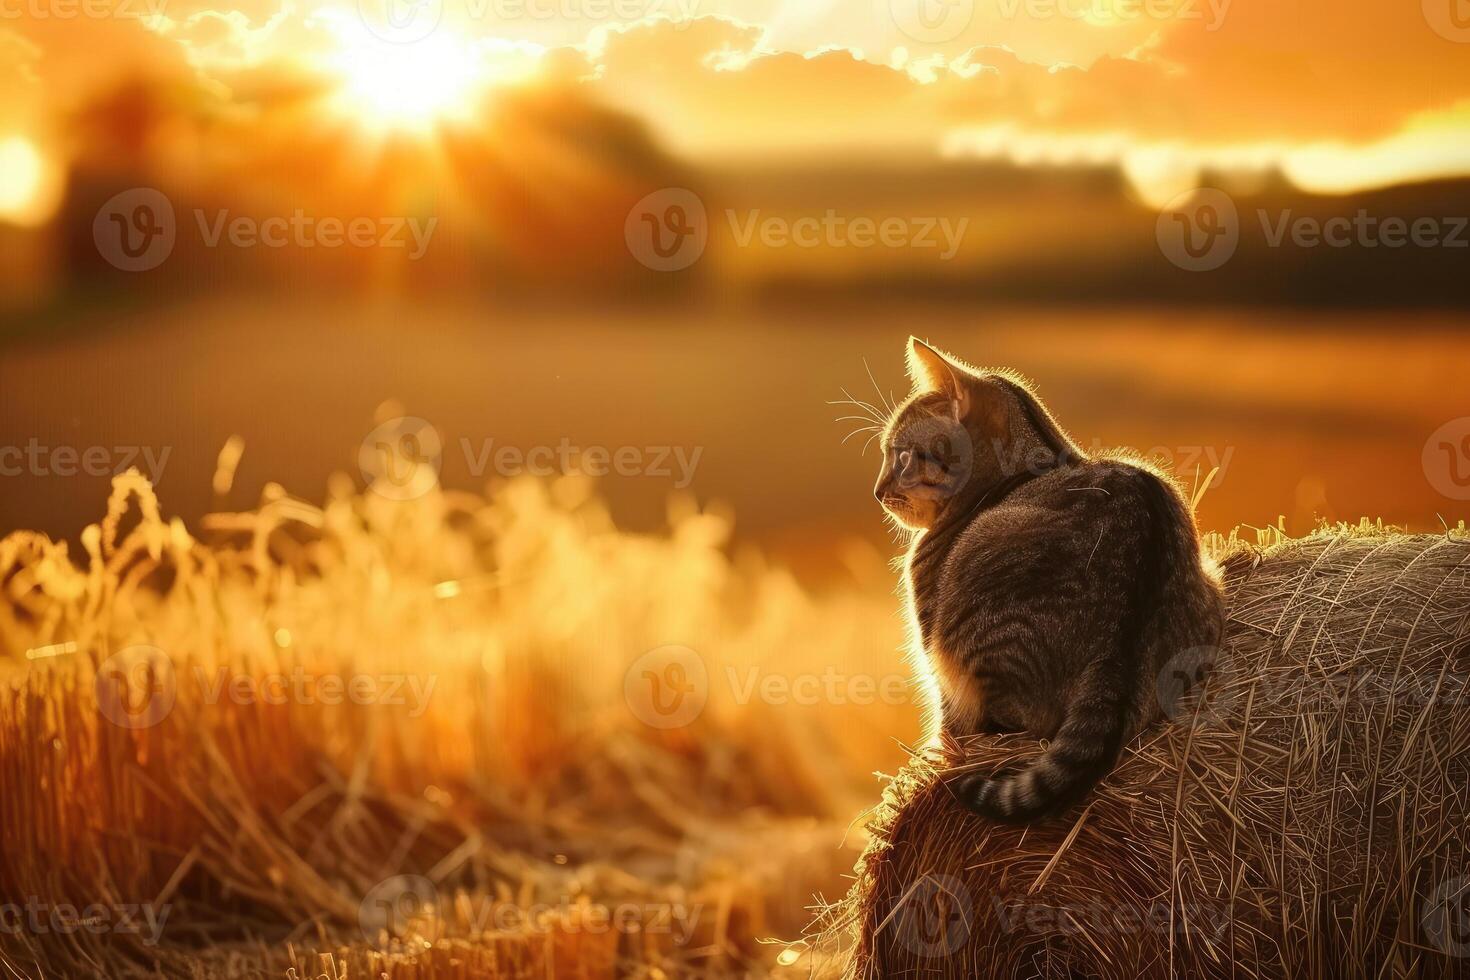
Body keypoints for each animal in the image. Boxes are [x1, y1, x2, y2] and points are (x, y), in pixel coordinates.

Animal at [870, 337, 1228, 822]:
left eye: (902, 455)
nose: (877, 491)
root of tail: (1115, 649)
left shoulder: (934, 654)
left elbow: (948, 723)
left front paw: (933, 762)